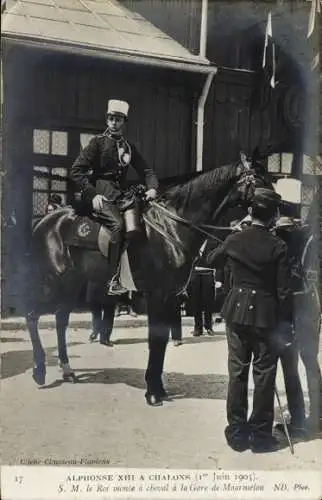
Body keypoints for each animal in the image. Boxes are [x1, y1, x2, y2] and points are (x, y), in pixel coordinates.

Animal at [25, 162, 264, 404]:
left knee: (60, 321)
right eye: (259, 180)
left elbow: (162, 341)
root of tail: (44, 222)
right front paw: (152, 393)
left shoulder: (171, 297)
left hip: (71, 286)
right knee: (33, 316)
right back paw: (39, 371)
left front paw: (159, 388)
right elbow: (155, 340)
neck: (171, 228)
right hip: (52, 283)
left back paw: (67, 370)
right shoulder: (157, 295)